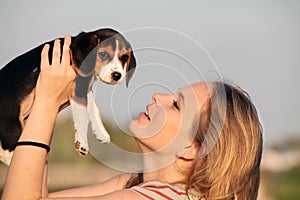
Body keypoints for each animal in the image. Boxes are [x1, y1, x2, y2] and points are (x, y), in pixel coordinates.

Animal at [0, 28, 136, 166]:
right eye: (103, 55)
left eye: (124, 57)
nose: (117, 75)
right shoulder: (78, 90)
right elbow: (82, 117)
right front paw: (82, 143)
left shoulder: (84, 87)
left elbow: (93, 108)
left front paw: (100, 132)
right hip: (12, 125)